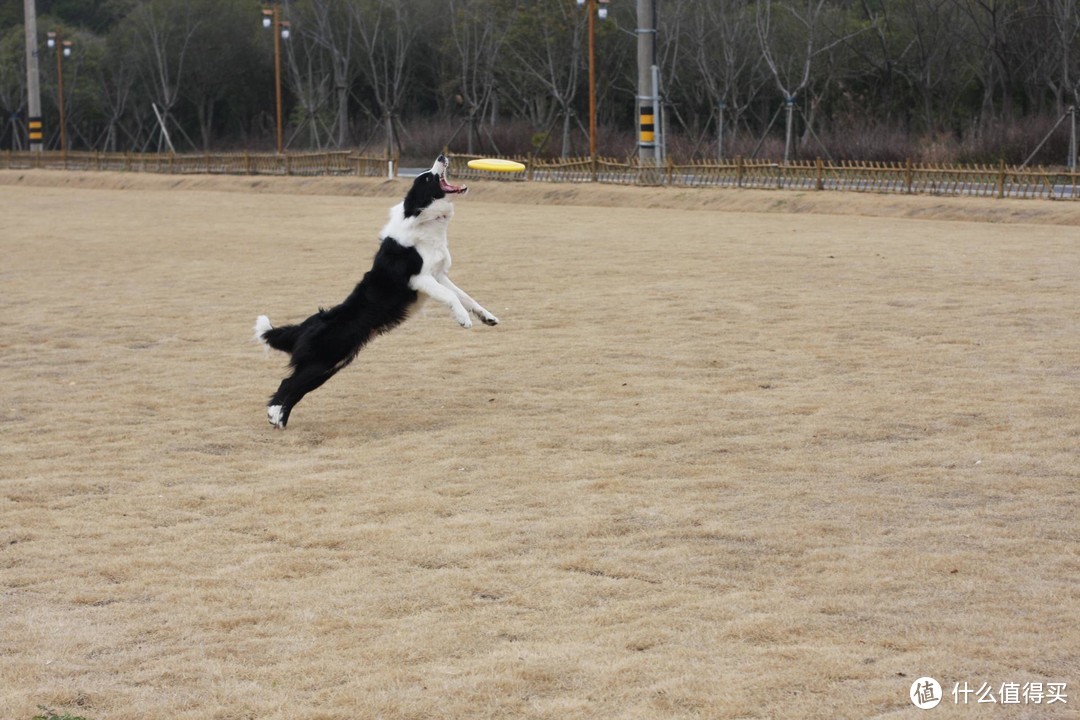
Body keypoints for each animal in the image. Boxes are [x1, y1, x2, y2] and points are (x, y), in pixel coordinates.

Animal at [254, 156, 498, 427]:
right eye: (426, 177)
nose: (442, 156)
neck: (425, 220)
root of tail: (309, 324)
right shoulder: (420, 278)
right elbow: (452, 297)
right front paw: (463, 320)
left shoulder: (439, 275)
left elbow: (466, 296)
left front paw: (487, 317)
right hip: (323, 360)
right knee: (287, 384)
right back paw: (275, 417)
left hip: (331, 364)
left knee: (294, 388)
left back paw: (279, 419)